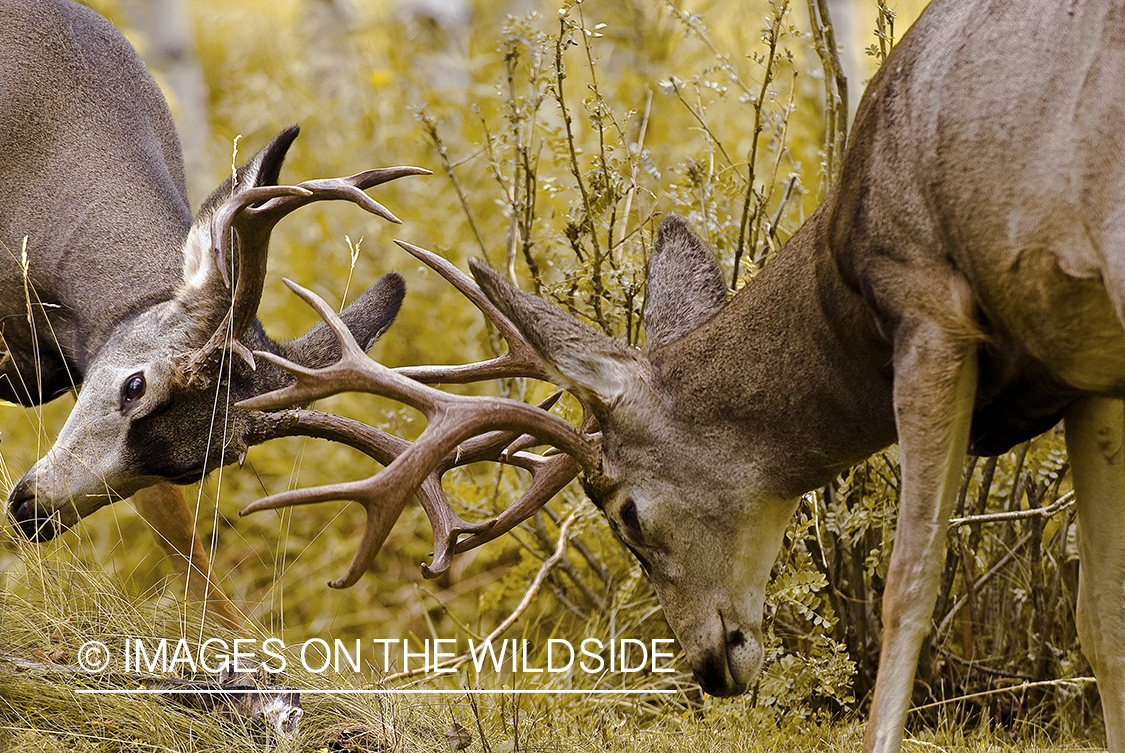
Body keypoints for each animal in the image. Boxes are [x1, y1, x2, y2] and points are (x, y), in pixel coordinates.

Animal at [223, 0, 1125, 750]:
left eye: (624, 511)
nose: (709, 666)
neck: (841, 297)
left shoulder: (927, 304)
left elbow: (907, 586)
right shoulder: (1083, 369)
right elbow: (1100, 616)